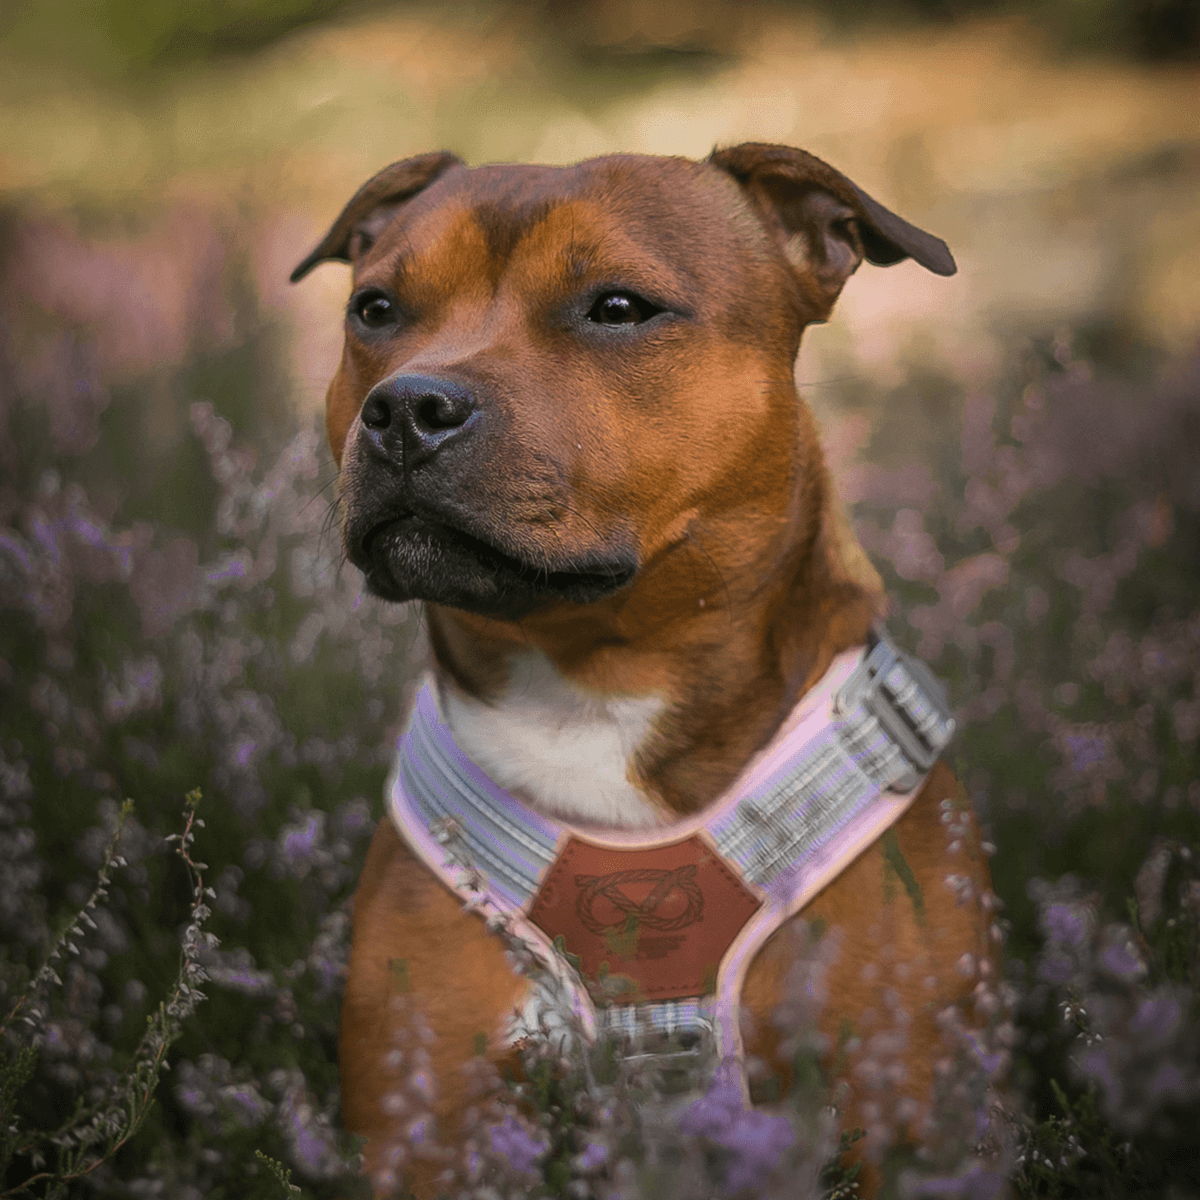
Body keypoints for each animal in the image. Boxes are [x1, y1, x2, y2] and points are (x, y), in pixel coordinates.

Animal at [295, 140, 998, 1190]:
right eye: (375, 309)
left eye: (619, 307)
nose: (408, 407)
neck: (591, 687)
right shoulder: (421, 1124)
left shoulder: (909, 1111)